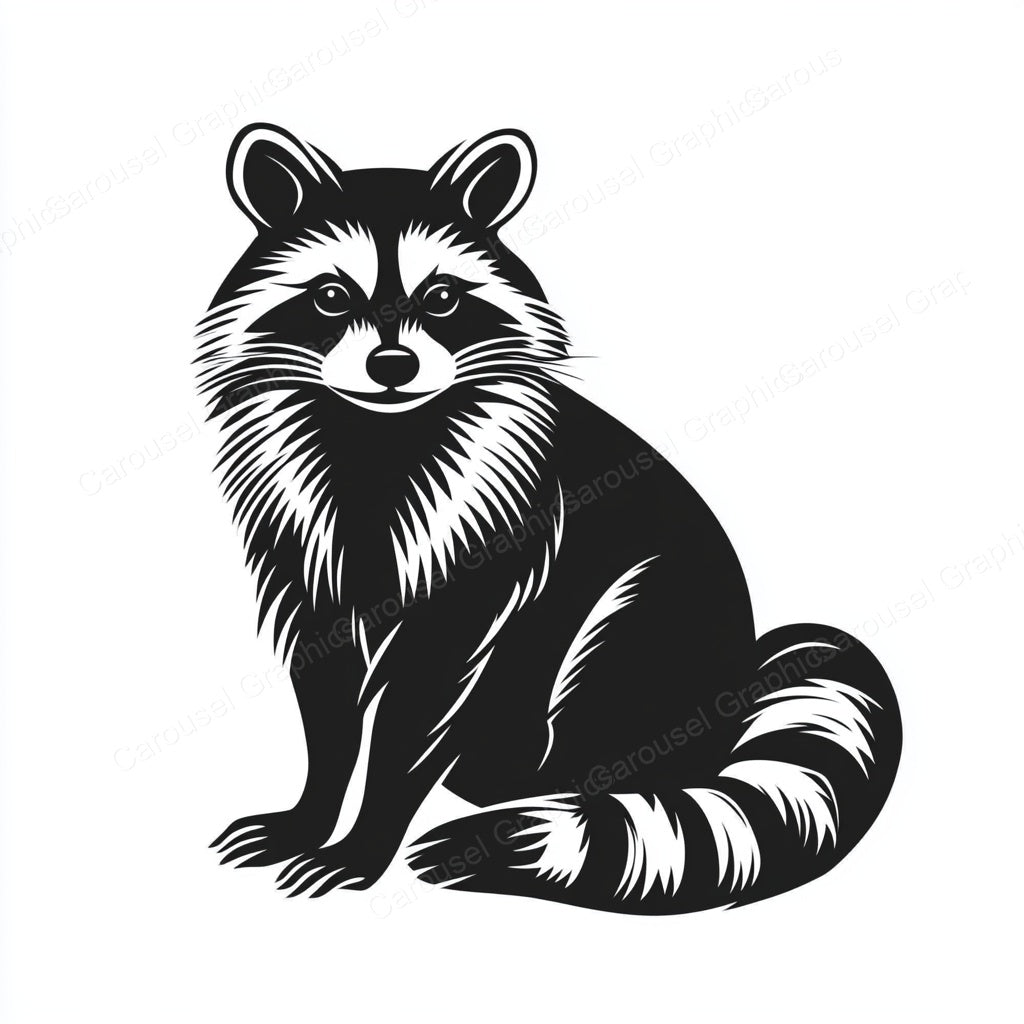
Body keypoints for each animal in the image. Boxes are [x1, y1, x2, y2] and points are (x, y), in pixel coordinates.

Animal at [199, 124, 901, 913]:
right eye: (328, 296)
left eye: (441, 297)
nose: (392, 364)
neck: (379, 437)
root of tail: (731, 698)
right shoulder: (307, 540)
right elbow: (327, 692)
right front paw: (314, 811)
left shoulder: (494, 532)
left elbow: (423, 698)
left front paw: (367, 837)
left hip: (652, 620)